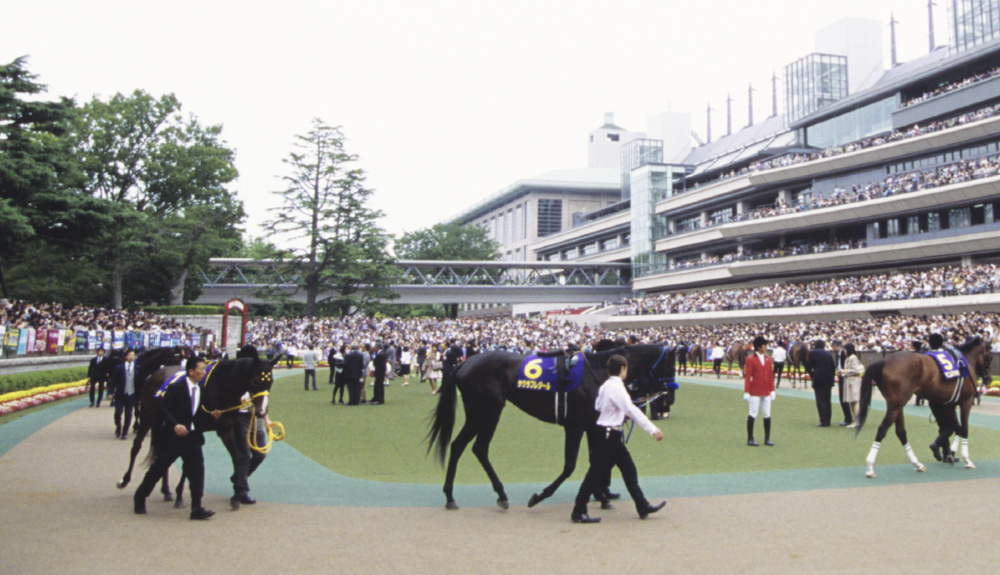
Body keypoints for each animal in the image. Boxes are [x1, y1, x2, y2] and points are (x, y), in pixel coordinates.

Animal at [426, 344, 676, 510]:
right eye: (669, 366)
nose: (670, 396)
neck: (598, 373)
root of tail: (464, 363)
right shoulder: (575, 427)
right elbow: (570, 466)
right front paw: (540, 496)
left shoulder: (592, 426)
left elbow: (597, 459)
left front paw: (601, 495)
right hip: (489, 412)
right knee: (479, 448)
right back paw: (499, 494)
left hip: (478, 415)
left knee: (458, 445)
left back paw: (450, 496)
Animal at [856, 336, 988, 480]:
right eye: (990, 355)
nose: (988, 378)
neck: (964, 362)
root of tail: (884, 361)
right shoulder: (966, 402)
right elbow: (964, 429)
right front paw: (967, 460)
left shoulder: (949, 404)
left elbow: (956, 428)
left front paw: (951, 454)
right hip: (895, 405)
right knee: (882, 430)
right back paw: (870, 467)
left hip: (897, 405)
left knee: (901, 432)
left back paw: (917, 464)